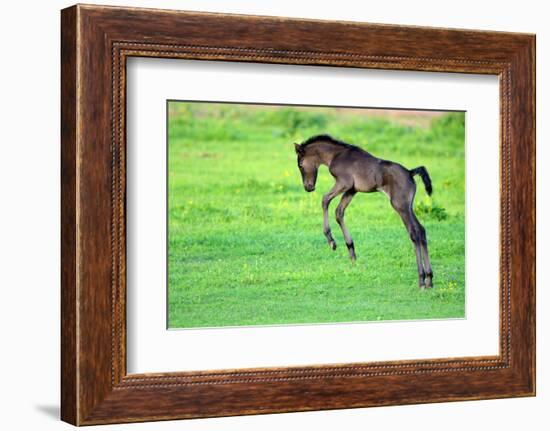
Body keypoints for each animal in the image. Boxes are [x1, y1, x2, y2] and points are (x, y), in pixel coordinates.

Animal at [298, 134, 436, 290]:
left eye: (300, 164)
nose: (308, 187)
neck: (336, 155)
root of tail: (410, 172)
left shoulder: (344, 183)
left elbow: (325, 200)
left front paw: (331, 241)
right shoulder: (352, 189)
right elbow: (339, 212)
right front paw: (351, 252)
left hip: (400, 206)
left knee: (414, 233)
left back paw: (421, 279)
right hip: (409, 206)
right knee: (421, 230)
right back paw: (429, 279)